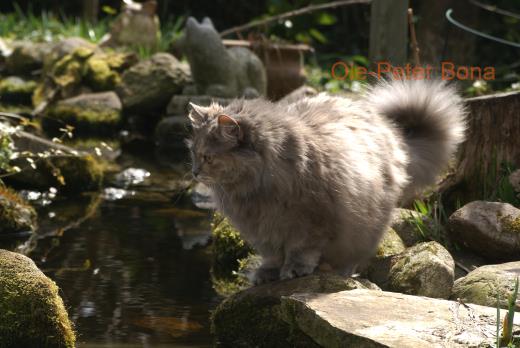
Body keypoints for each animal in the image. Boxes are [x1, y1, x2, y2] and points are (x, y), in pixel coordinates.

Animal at [187, 80, 468, 284]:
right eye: (193, 153)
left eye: (208, 157)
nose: (194, 172)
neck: (257, 188)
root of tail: (392, 133)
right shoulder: (261, 230)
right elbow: (273, 255)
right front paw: (267, 273)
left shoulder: (311, 220)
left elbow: (301, 249)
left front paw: (295, 269)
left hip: (367, 224)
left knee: (352, 256)